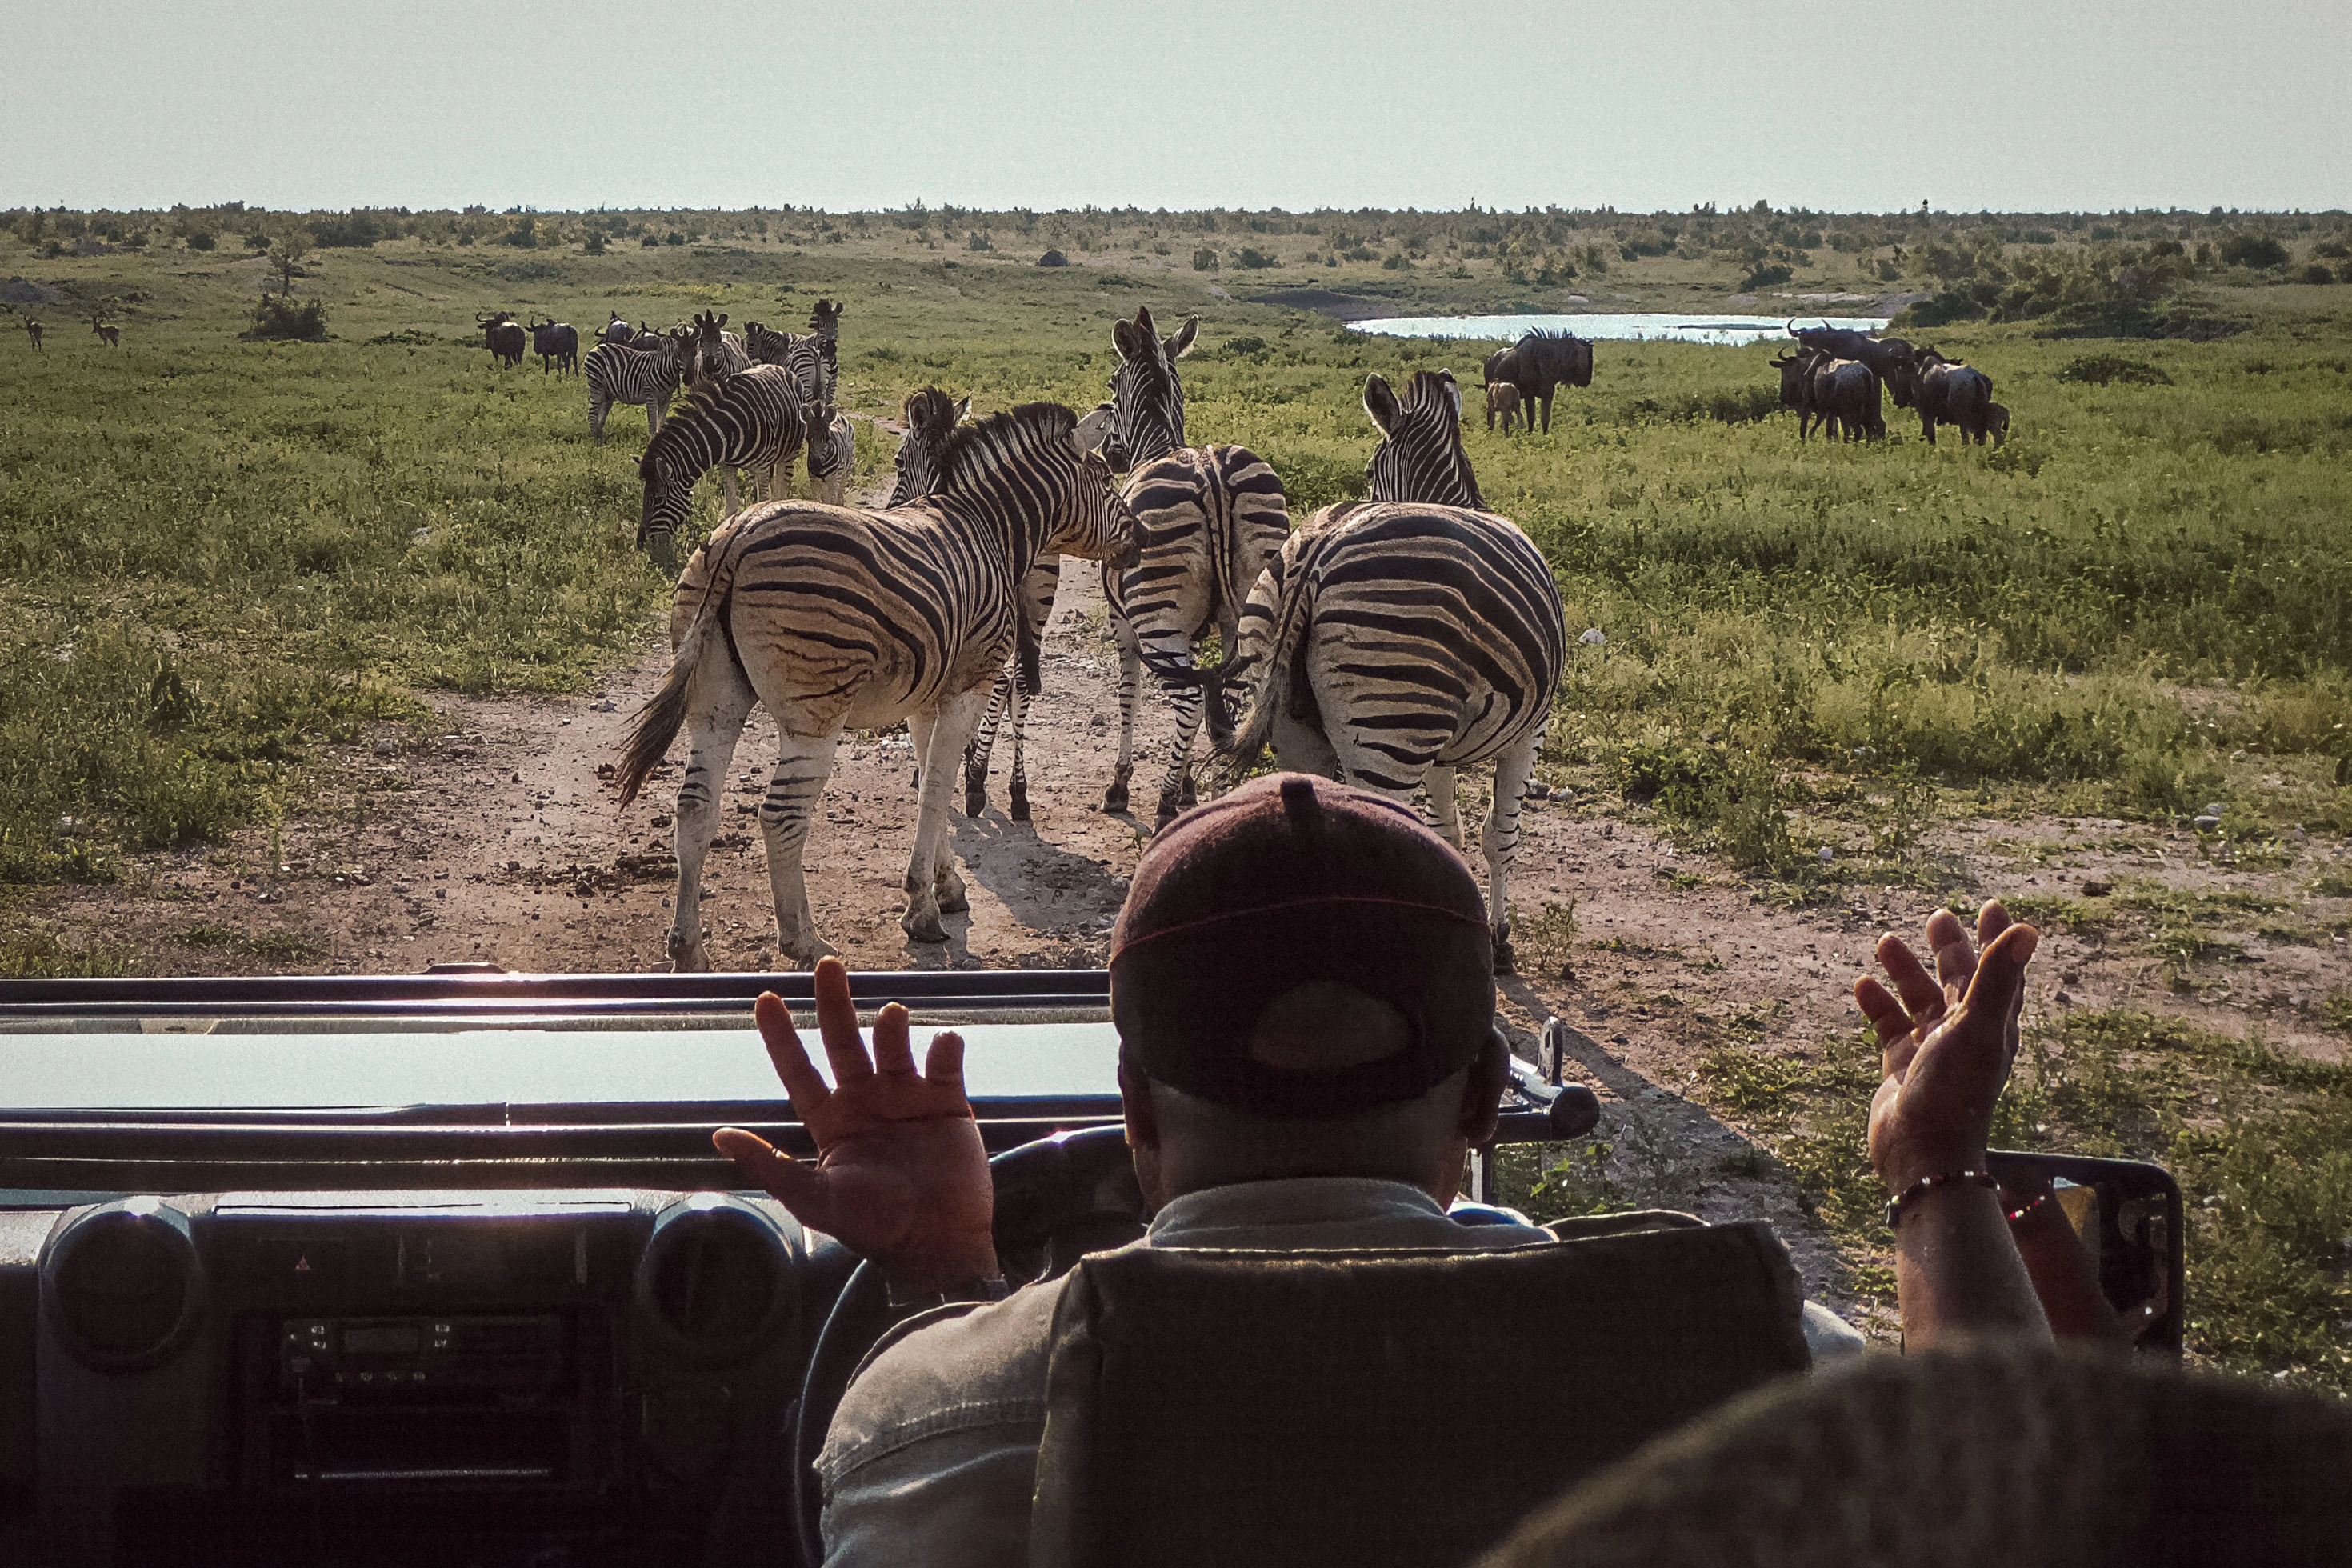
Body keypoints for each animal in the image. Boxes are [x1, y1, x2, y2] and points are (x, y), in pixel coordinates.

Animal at [585, 329, 687, 445]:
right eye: (677, 353)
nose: (684, 369)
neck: (667, 370)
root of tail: (596, 347)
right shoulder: (651, 395)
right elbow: (652, 422)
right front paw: (652, 442)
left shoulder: (666, 398)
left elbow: (661, 422)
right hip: (596, 384)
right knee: (592, 414)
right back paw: (594, 441)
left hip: (607, 393)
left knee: (601, 415)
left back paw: (600, 440)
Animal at [614, 402, 1140, 969]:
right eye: (1105, 479)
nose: (1140, 536)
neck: (988, 528)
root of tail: (738, 538)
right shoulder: (970, 684)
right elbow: (938, 788)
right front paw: (922, 911)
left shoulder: (927, 697)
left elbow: (933, 780)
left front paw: (946, 886)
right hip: (815, 716)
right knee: (780, 817)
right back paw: (804, 941)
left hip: (715, 703)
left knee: (694, 809)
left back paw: (688, 948)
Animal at [635, 363, 811, 572]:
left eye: (658, 499)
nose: (642, 545)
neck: (727, 432)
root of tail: (778, 367)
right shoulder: (727, 467)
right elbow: (731, 509)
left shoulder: (761, 468)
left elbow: (762, 503)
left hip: (790, 453)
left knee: (782, 489)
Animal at [1226, 369, 1565, 973]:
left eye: (1366, 471)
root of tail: (1318, 548)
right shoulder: (1532, 728)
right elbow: (1499, 834)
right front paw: (1499, 941)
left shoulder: (1439, 748)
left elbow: (1448, 832)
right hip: (1391, 729)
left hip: (1299, 730)